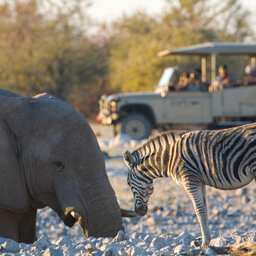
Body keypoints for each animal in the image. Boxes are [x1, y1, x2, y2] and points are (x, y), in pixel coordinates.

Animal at [123, 123, 256, 249]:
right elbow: (205, 209)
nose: (139, 212)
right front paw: (207, 241)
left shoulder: (190, 180)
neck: (169, 157)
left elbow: (199, 210)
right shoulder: (200, 181)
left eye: (128, 183)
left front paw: (204, 244)